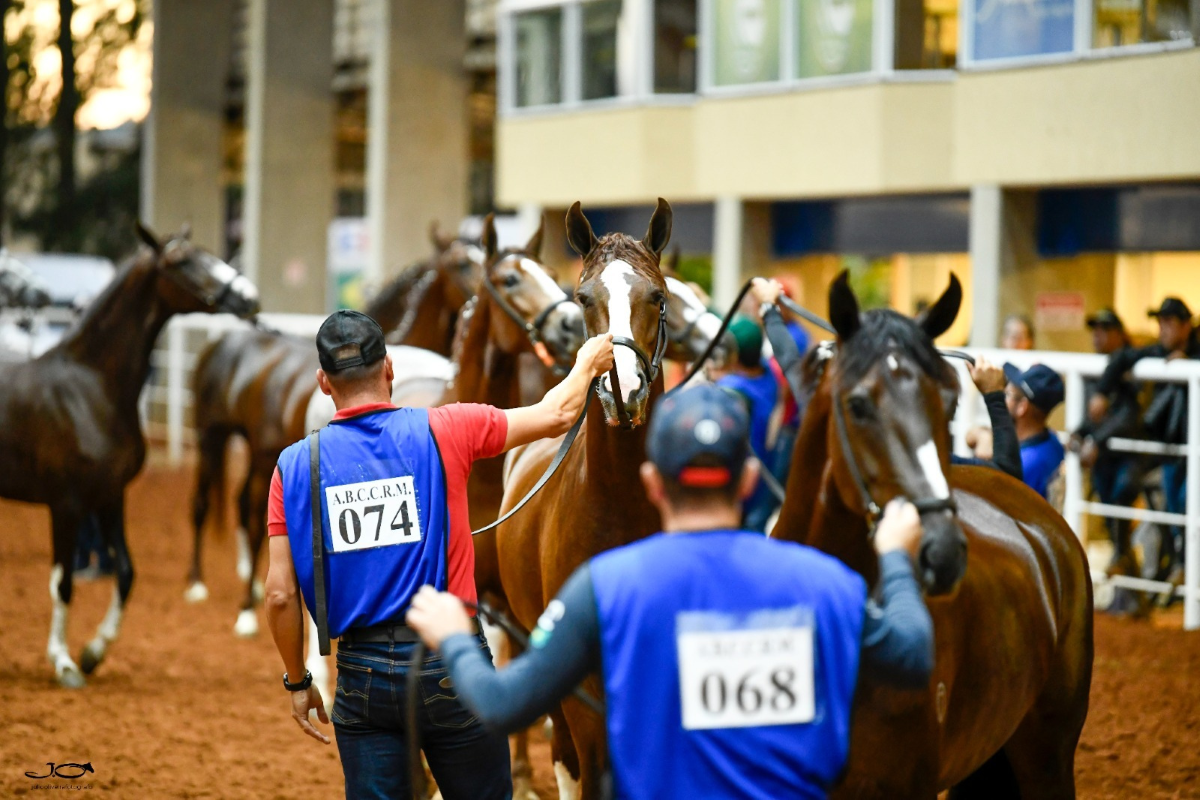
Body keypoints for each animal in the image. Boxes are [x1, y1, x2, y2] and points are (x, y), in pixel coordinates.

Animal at [0, 225, 260, 688]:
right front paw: (64, 662)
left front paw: (93, 651)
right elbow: (63, 582)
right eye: (181, 261)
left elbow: (125, 574)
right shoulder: (66, 505)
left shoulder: (110, 498)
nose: (248, 297)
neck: (91, 387)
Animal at [494, 199, 674, 799]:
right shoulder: (582, 689)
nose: (623, 387)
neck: (619, 507)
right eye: (583, 297)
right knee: (567, 759)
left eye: (658, 296)